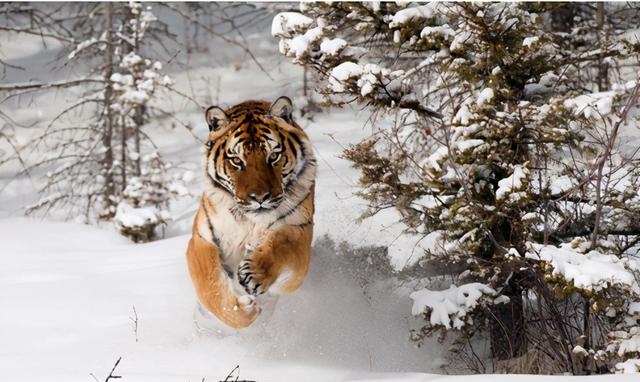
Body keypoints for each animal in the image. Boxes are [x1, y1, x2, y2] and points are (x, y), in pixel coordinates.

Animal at [184, 95, 316, 328]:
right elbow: (210, 285)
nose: (260, 197)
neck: (249, 222)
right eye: (237, 161)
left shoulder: (299, 229)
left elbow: (282, 245)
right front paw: (243, 309)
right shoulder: (202, 239)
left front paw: (254, 273)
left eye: (273, 156)